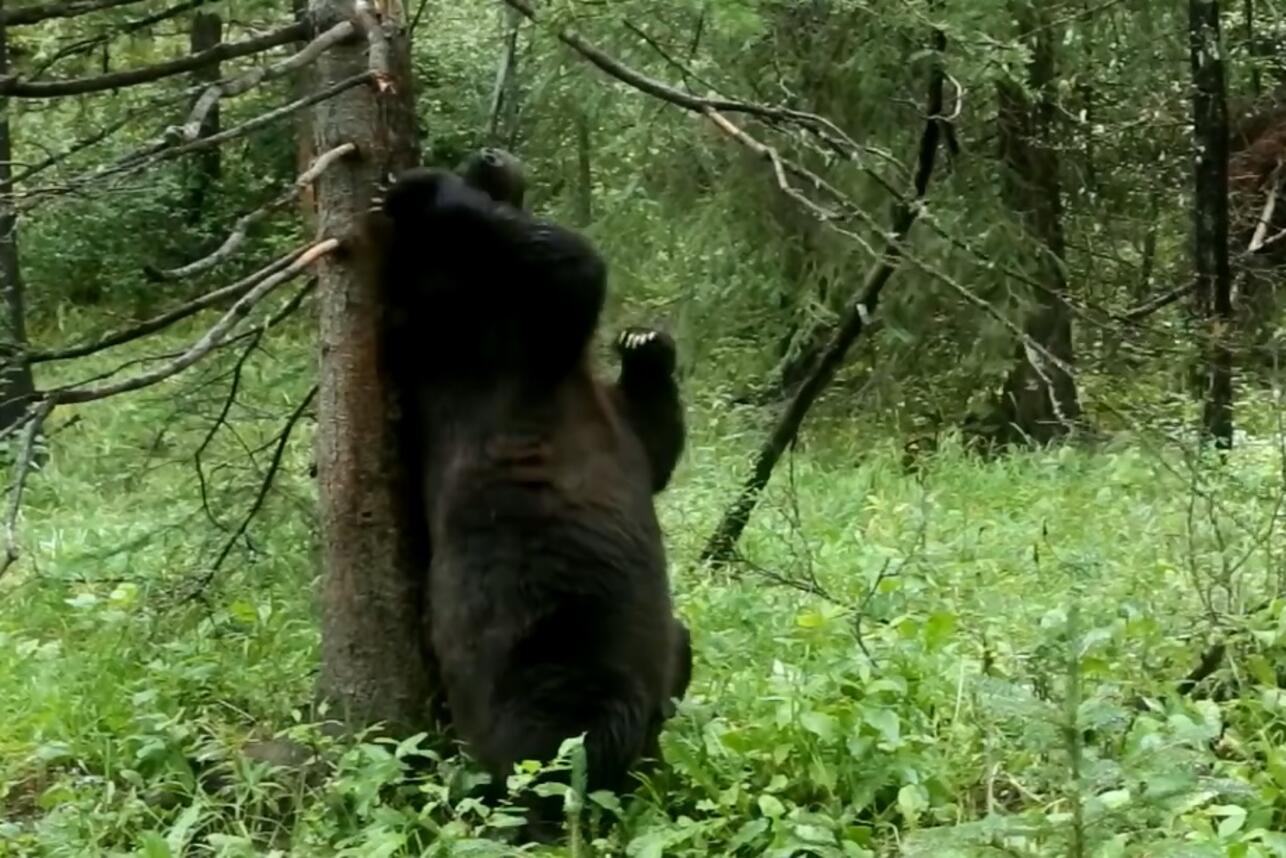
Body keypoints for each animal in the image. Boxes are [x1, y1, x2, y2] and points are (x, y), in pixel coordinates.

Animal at [370, 164, 694, 833]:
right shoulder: (504, 350)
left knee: (677, 650)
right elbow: (568, 263)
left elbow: (653, 448)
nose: (494, 157)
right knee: (571, 739)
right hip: (556, 656)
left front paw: (645, 342)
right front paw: (420, 189)